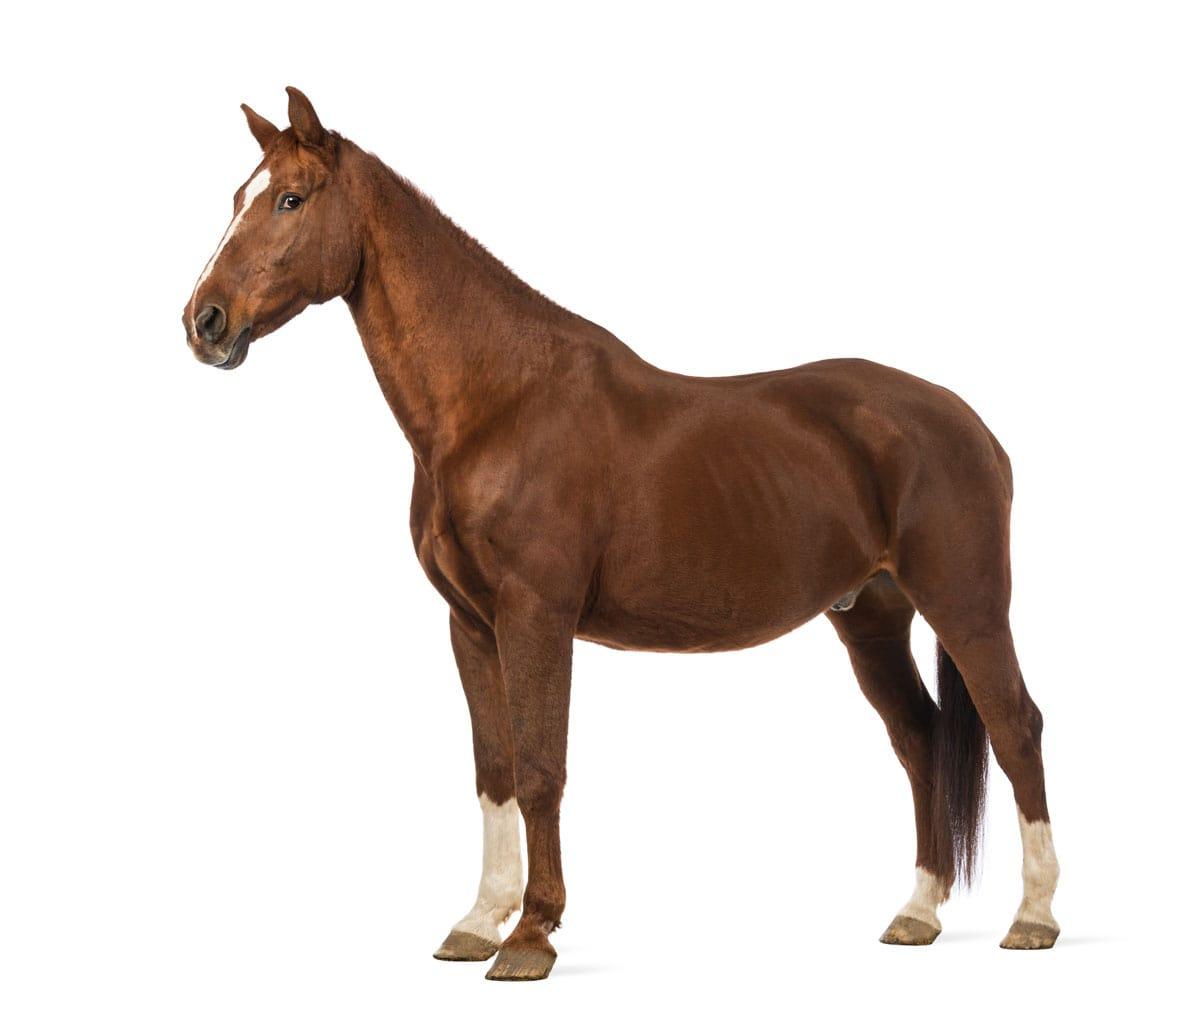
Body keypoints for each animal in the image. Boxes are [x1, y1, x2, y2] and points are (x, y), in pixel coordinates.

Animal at [182, 88, 1060, 981]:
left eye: (291, 199)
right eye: (238, 197)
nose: (205, 322)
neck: (498, 403)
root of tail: (969, 424)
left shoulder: (536, 616)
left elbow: (541, 769)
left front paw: (531, 935)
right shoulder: (471, 625)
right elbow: (494, 770)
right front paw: (478, 922)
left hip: (967, 609)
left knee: (1016, 728)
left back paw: (1033, 917)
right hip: (872, 617)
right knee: (920, 738)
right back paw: (917, 912)